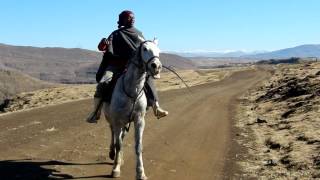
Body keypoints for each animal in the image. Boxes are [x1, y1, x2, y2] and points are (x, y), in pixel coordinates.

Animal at [103, 39, 162, 179]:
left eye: (159, 51)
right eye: (145, 49)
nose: (156, 66)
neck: (132, 90)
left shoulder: (139, 119)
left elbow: (138, 146)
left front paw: (140, 173)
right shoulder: (117, 120)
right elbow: (118, 144)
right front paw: (115, 169)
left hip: (126, 122)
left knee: (121, 136)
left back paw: (120, 158)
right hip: (111, 120)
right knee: (113, 135)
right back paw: (113, 154)